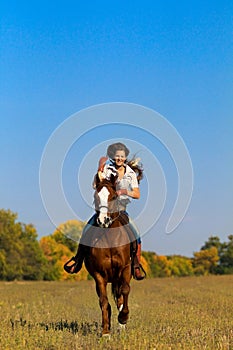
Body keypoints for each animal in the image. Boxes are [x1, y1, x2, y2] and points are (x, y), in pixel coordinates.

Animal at [82, 174, 133, 334]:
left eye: (114, 196)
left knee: (121, 297)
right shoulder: (99, 274)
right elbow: (104, 302)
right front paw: (105, 332)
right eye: (95, 197)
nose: (103, 220)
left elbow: (125, 291)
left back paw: (122, 327)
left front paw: (123, 317)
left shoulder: (125, 268)